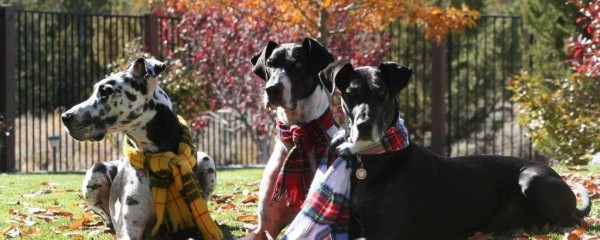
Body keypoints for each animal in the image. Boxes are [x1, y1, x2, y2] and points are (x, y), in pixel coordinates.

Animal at [318, 61, 592, 240]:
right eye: (350, 93)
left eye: (381, 93)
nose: (363, 126)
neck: (371, 159)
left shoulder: (380, 230)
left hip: (531, 178)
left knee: (573, 220)